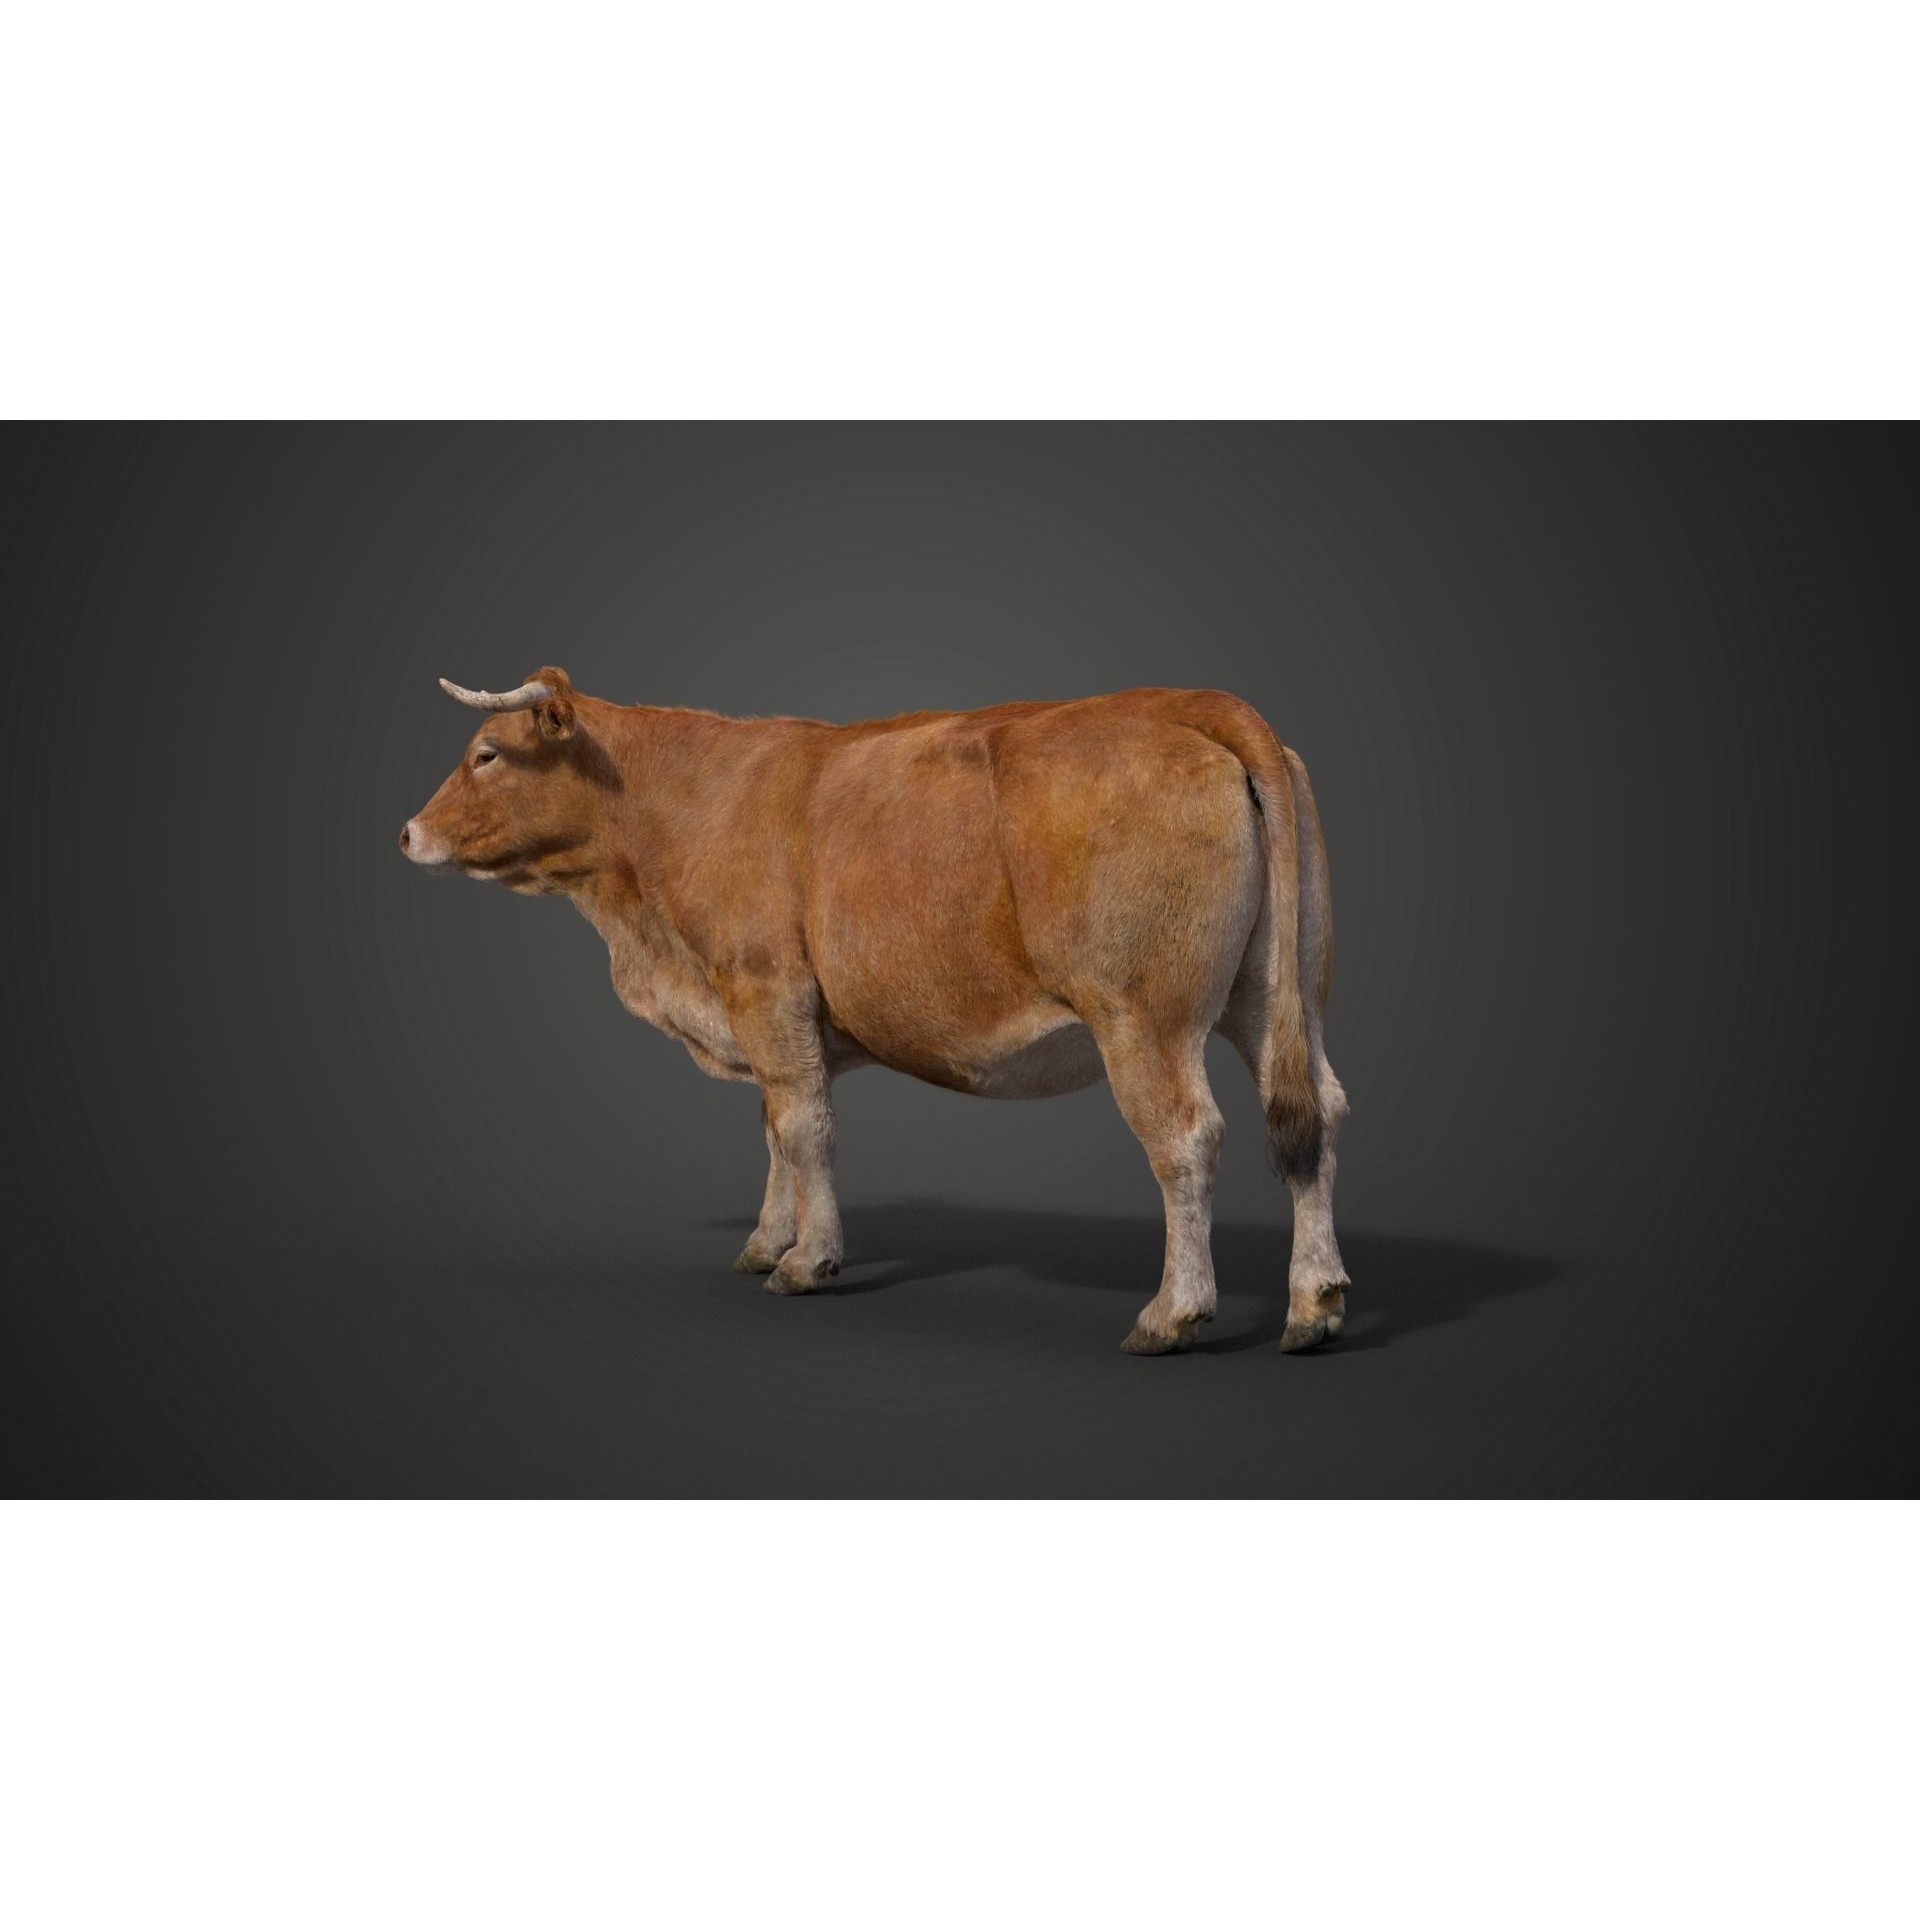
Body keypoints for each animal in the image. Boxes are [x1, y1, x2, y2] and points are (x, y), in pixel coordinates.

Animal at [399, 669, 1351, 1354]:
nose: (406, 833)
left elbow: (805, 1128)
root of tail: (1193, 701)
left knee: (1186, 1139)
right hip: (1279, 996)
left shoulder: (765, 987)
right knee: (1316, 1118)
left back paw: (1172, 1314)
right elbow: (775, 1129)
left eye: (486, 753)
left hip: (1144, 1015)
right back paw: (1315, 1304)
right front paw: (766, 1243)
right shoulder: (764, 1013)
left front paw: (808, 1261)